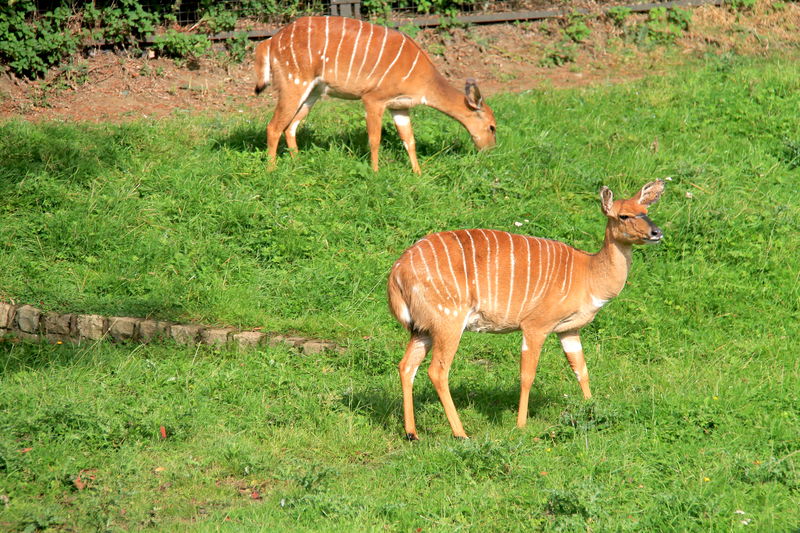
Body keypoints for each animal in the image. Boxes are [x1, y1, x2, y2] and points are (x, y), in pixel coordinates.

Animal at [253, 15, 496, 174]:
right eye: (492, 127)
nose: (491, 151)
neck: (423, 80)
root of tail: (270, 42)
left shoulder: (400, 106)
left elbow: (410, 140)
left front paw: (418, 173)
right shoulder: (373, 99)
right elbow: (374, 139)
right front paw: (376, 172)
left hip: (313, 90)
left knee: (291, 126)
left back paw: (298, 163)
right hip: (293, 82)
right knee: (273, 126)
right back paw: (271, 170)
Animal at [390, 179, 664, 436]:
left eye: (645, 210)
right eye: (623, 215)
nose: (656, 232)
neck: (588, 273)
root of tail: (397, 272)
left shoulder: (569, 330)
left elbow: (581, 369)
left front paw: (591, 408)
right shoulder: (535, 325)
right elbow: (527, 375)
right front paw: (521, 425)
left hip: (422, 328)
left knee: (406, 366)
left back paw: (412, 433)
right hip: (449, 321)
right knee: (437, 371)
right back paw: (461, 434)